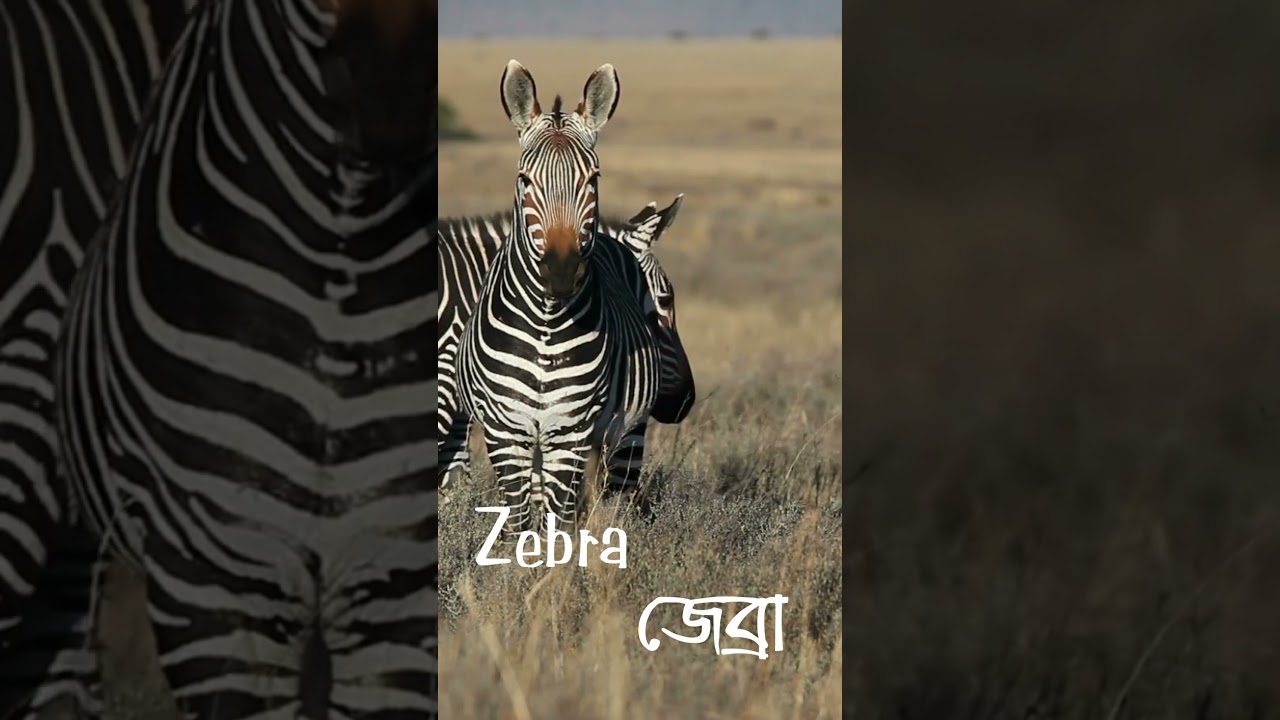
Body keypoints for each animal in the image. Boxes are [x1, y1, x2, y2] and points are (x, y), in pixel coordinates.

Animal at [441, 60, 664, 538]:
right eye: (524, 180)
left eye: (593, 179)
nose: (561, 272)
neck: (545, 323)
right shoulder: (505, 429)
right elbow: (520, 523)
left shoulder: (570, 430)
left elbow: (553, 525)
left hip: (627, 430)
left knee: (616, 497)